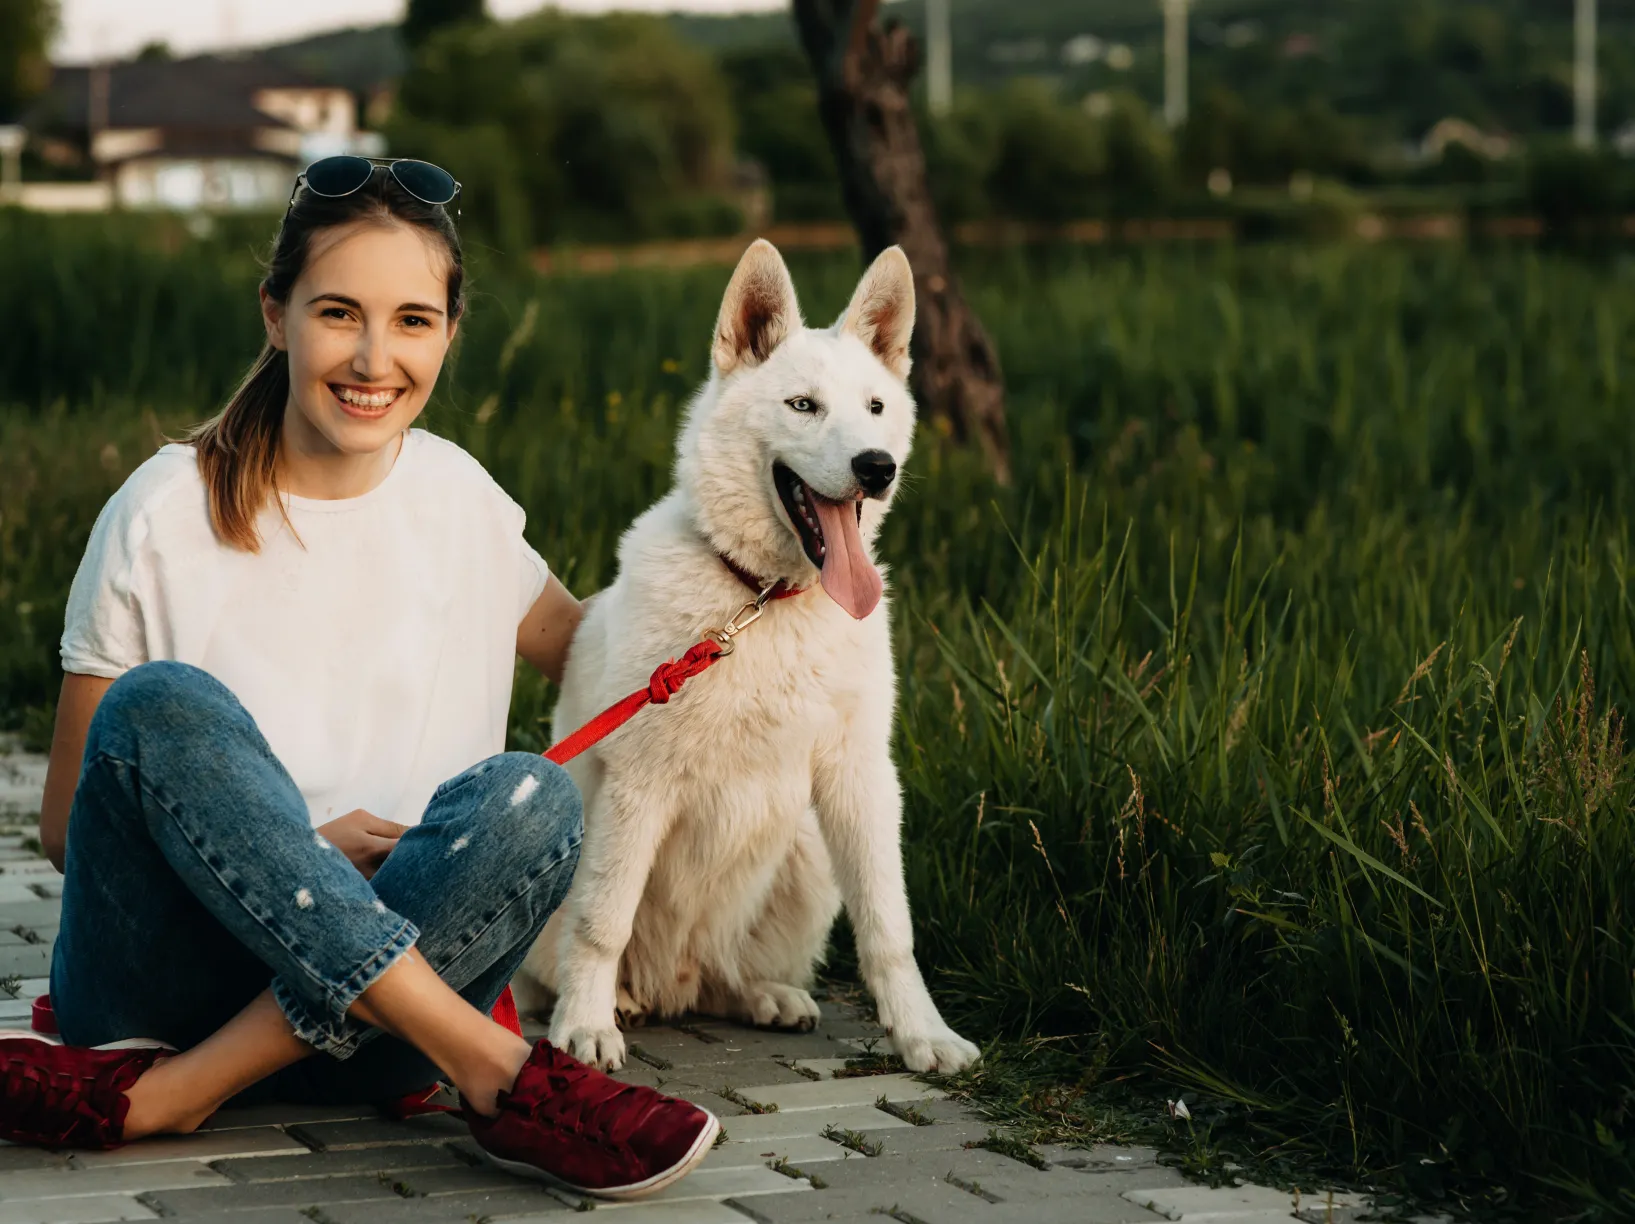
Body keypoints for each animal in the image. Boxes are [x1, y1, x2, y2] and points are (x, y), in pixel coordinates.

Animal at [516, 236, 974, 1072]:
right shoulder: (637, 784)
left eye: (875, 408)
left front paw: (922, 1035)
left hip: (809, 856)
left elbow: (889, 929)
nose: (876, 467)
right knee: (561, 965)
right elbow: (601, 922)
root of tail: (668, 986)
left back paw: (763, 997)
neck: (761, 601)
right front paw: (586, 1026)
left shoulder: (862, 778)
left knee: (718, 977)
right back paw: (607, 1004)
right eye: (802, 406)